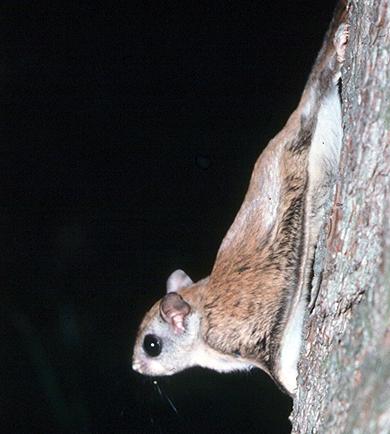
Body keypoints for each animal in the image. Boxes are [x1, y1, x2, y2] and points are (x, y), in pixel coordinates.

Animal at [133, 1, 348, 396]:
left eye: (151, 345)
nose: (136, 366)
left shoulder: (248, 336)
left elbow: (280, 369)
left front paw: (293, 390)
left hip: (302, 141)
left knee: (318, 89)